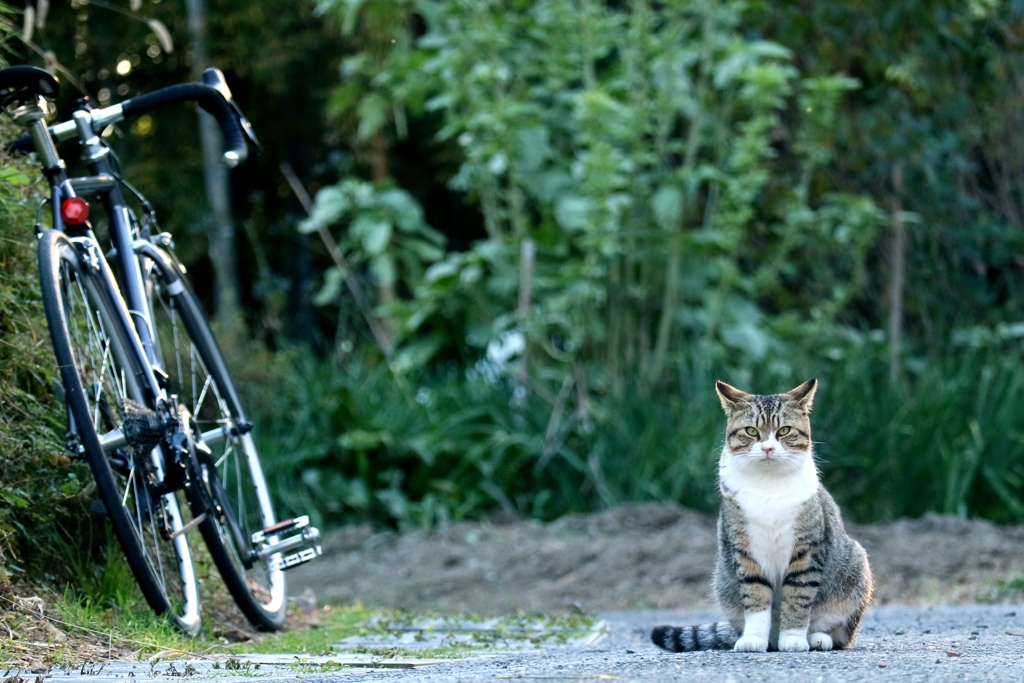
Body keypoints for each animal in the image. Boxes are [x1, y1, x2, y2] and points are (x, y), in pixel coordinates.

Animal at [655, 382, 872, 655]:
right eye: (751, 431)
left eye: (784, 430)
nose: (768, 448)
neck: (768, 484)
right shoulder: (746, 552)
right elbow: (756, 597)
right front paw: (754, 638)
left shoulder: (805, 552)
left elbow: (798, 597)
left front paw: (793, 638)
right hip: (722, 581)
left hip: (856, 565)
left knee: (840, 634)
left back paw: (818, 638)